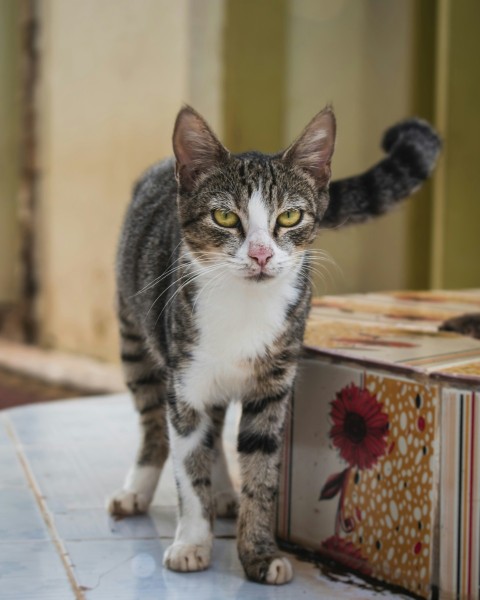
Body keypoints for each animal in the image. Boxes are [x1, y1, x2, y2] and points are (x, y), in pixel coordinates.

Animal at [107, 105, 440, 584]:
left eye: (289, 218)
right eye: (225, 218)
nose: (261, 255)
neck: (244, 307)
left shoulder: (272, 386)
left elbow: (261, 474)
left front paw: (259, 552)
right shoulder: (186, 383)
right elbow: (189, 467)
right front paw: (192, 542)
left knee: (214, 429)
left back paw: (224, 491)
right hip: (134, 334)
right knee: (154, 420)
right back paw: (137, 489)